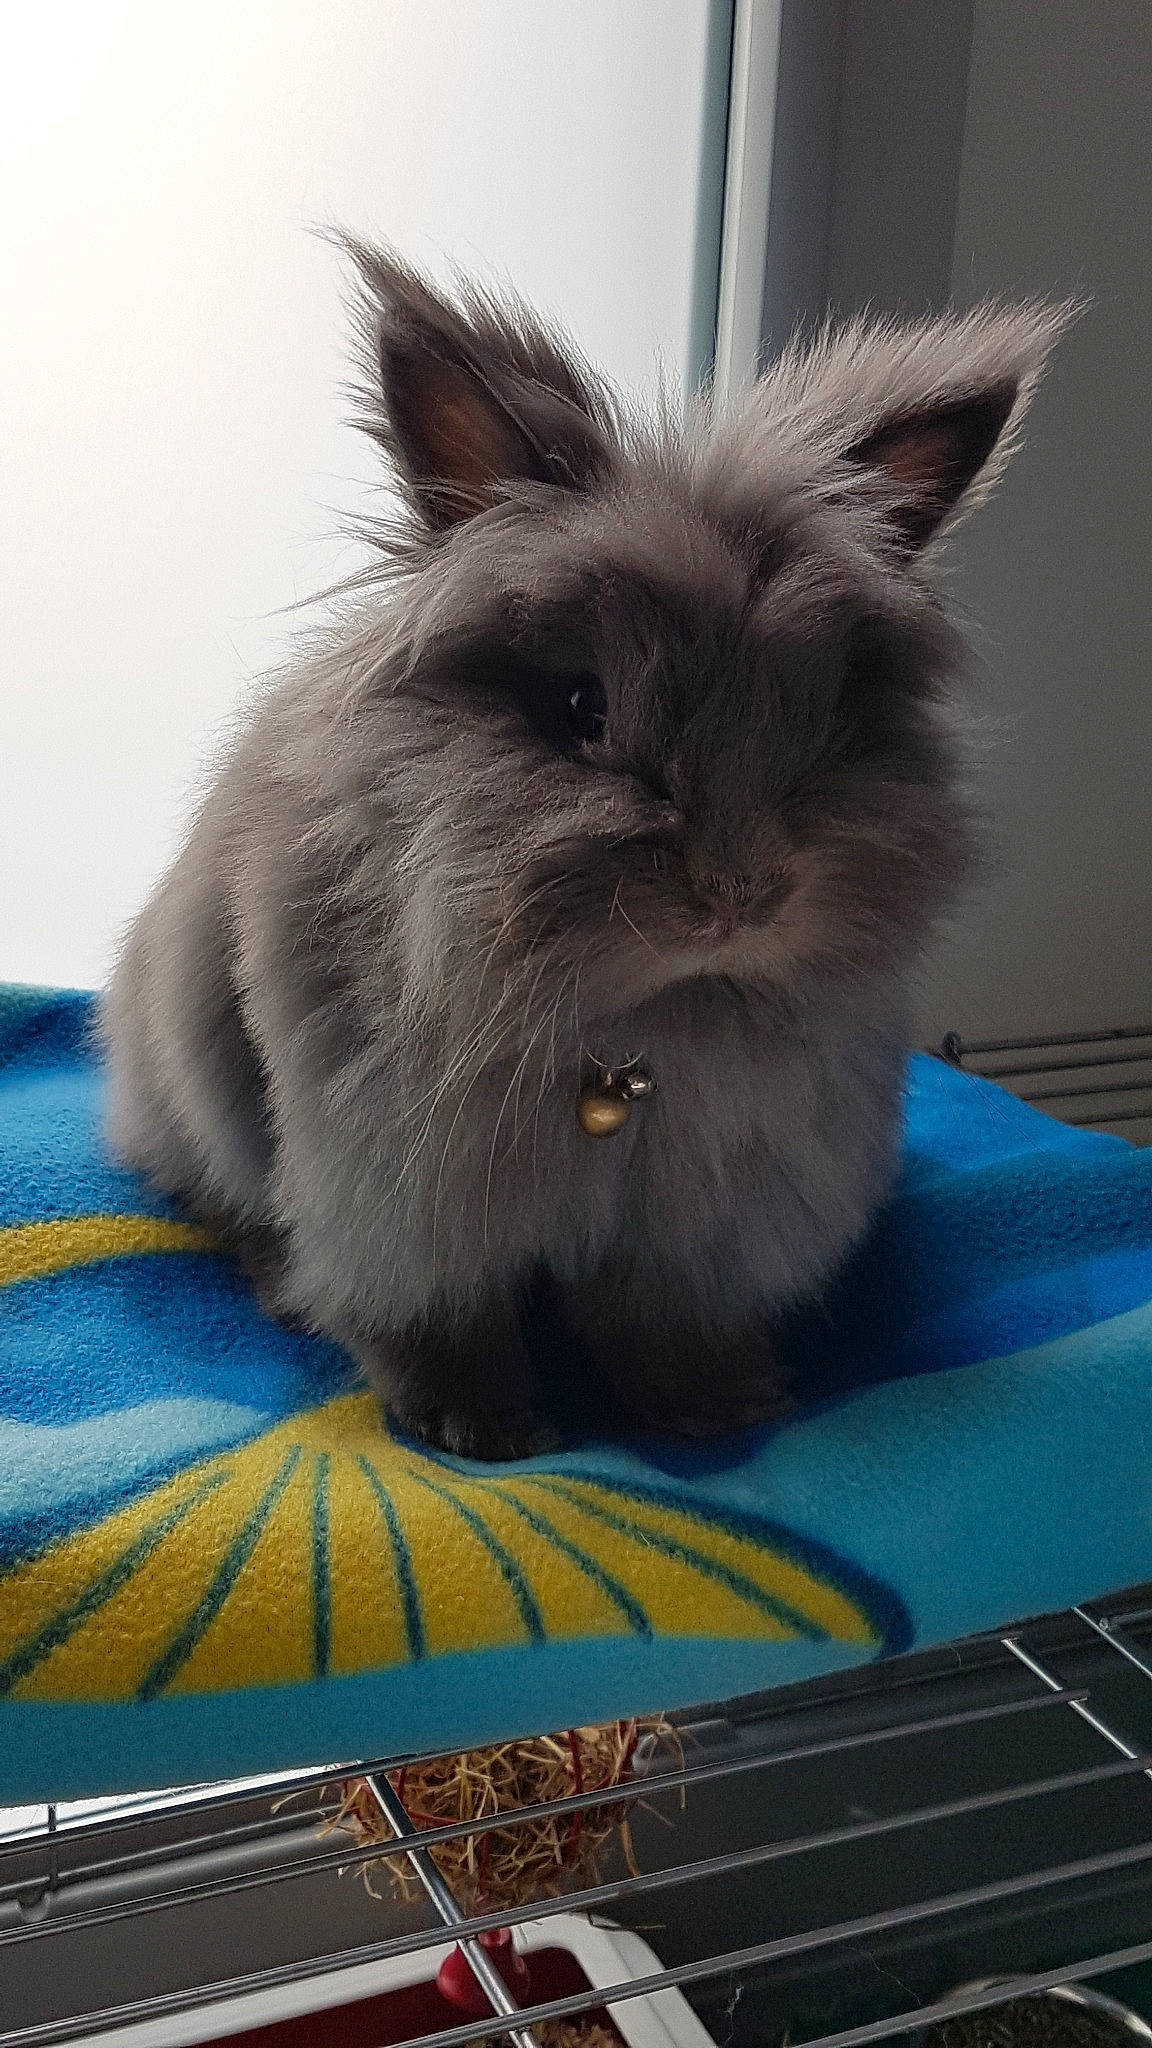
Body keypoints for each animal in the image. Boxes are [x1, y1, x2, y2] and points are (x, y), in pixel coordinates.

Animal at [100, 239, 1065, 1458]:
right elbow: (439, 1314)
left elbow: (666, 1324)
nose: (740, 894)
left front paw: (713, 1411)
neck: (626, 1037)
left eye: (829, 720)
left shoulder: (706, 1217)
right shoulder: (403, 1194)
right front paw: (481, 1429)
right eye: (580, 706)